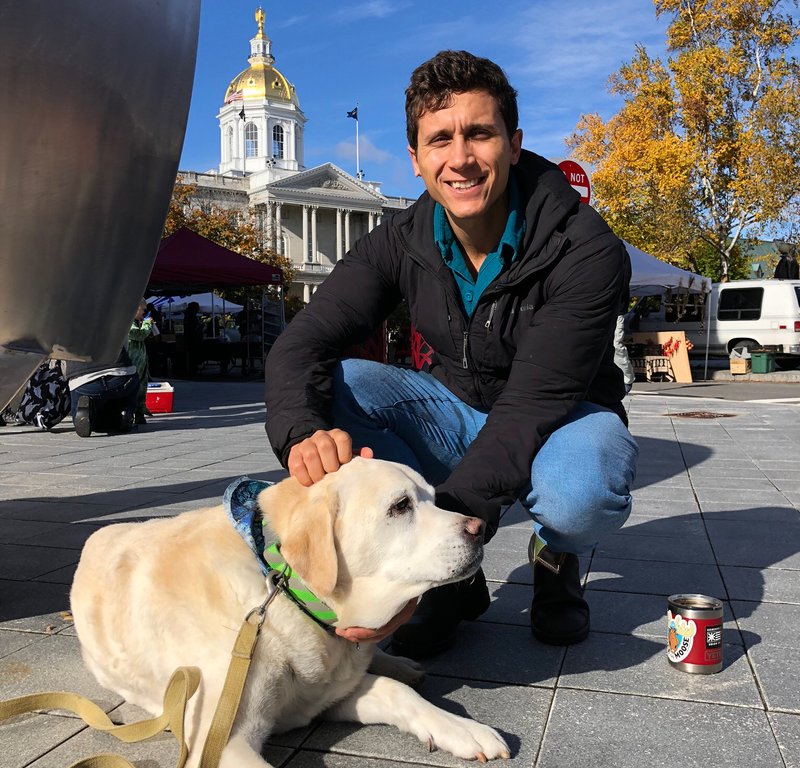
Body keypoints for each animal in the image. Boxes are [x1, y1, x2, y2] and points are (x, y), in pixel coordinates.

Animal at [70, 460, 506, 768]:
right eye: (401, 506)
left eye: (434, 497)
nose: (479, 527)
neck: (285, 596)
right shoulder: (222, 742)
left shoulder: (327, 694)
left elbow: (396, 692)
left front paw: (463, 729)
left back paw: (399, 663)